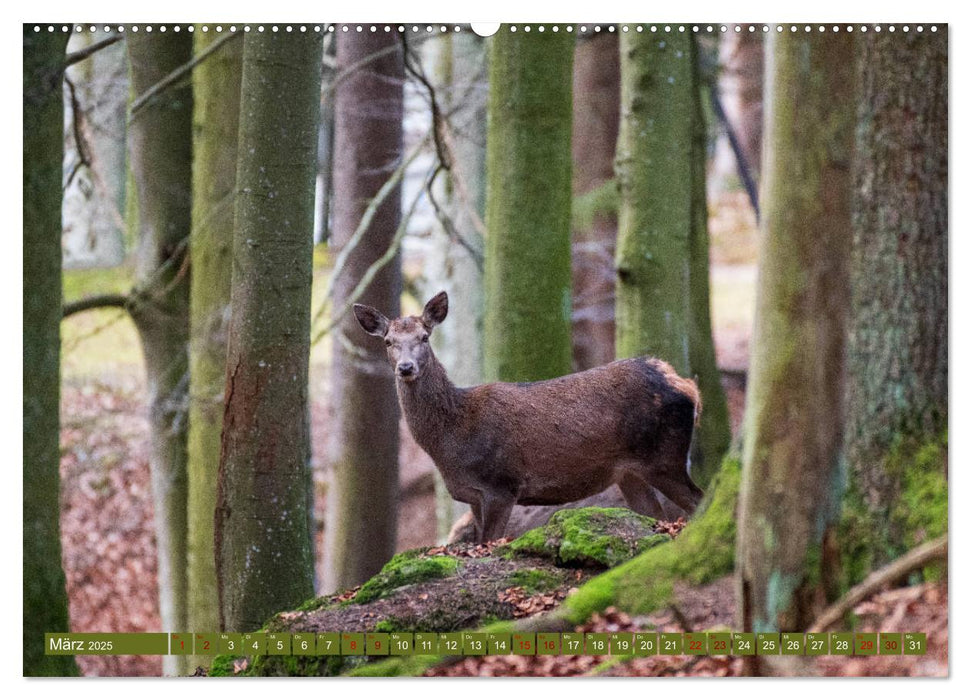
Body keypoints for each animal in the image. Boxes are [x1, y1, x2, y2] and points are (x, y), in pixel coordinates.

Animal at [354, 292, 704, 544]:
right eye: (388, 341)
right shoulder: (473, 495)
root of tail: (686, 384)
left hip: (664, 457)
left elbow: (488, 542)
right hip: (630, 474)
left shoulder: (502, 484)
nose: (406, 368)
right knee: (657, 516)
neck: (451, 441)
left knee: (697, 500)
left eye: (425, 337)